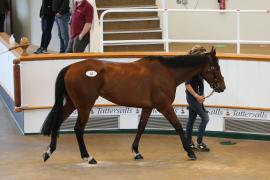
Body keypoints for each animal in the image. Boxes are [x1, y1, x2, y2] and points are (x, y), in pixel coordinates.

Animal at [40, 47, 226, 165]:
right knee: (78, 129)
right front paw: (190, 151)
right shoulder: (164, 106)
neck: (167, 72)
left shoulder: (148, 107)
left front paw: (136, 152)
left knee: (57, 122)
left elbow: (141, 127)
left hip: (72, 104)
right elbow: (178, 126)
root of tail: (71, 67)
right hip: (84, 106)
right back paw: (88, 157)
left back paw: (48, 153)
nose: (222, 87)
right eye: (214, 67)